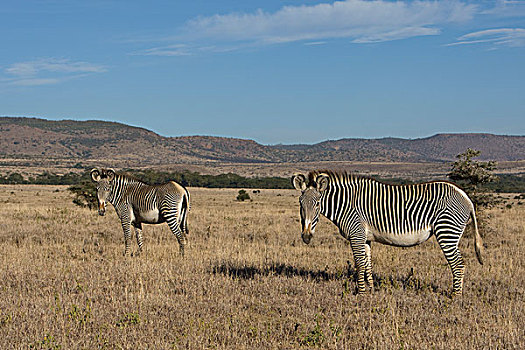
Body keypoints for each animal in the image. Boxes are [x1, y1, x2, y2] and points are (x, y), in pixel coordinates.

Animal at [290, 170, 484, 296]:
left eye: (317, 204)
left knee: (458, 264)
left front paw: (360, 293)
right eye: (300, 203)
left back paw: (455, 296)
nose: (306, 237)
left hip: (447, 232)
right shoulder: (365, 238)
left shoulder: (356, 234)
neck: (346, 204)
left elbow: (359, 264)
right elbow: (367, 264)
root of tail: (465, 196)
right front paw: (371, 290)